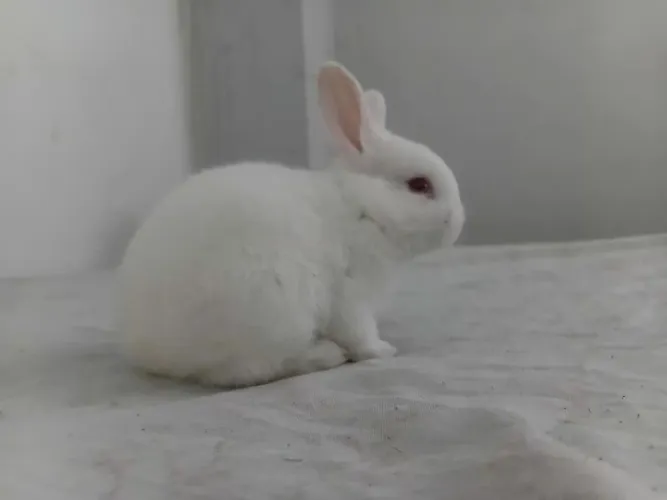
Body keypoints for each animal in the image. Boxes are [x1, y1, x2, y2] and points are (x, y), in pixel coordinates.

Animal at [117, 61, 465, 388]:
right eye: (419, 185)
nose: (458, 221)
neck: (363, 207)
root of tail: (152, 351)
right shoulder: (352, 296)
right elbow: (360, 333)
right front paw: (383, 350)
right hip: (276, 314)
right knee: (251, 370)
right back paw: (327, 354)